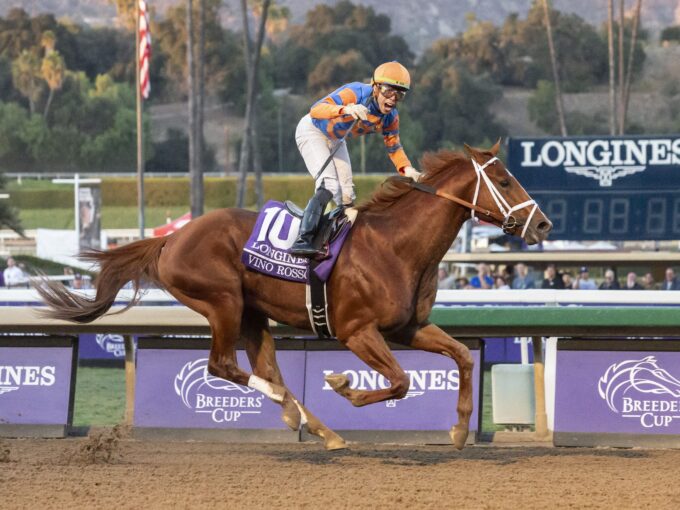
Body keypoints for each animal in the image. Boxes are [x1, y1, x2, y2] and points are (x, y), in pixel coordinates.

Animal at [35, 140, 552, 450]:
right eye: (504, 181)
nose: (543, 224)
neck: (396, 246)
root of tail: (172, 238)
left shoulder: (409, 326)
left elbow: (463, 357)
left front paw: (461, 429)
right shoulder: (357, 332)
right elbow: (401, 382)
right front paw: (342, 384)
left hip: (252, 315)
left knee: (265, 367)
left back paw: (314, 424)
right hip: (222, 302)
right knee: (223, 366)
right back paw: (298, 413)